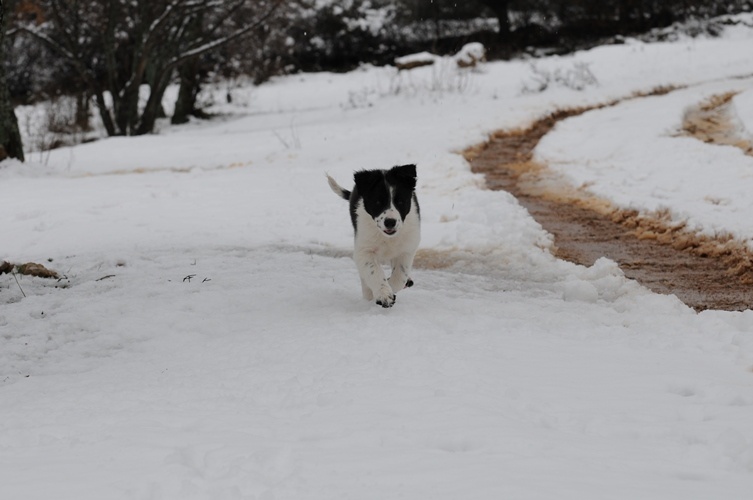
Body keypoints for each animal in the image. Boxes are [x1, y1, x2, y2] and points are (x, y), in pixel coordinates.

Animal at [326, 164, 420, 306]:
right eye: (377, 202)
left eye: (400, 201)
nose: (390, 222)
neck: (386, 237)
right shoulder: (364, 250)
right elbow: (373, 271)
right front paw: (383, 294)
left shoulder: (407, 249)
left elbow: (399, 276)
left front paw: (390, 288)